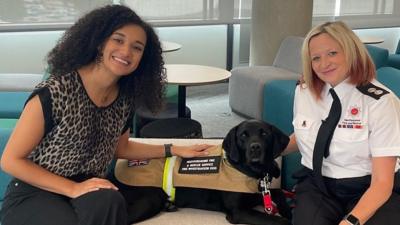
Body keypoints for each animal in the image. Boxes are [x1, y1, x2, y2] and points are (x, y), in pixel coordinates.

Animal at [111, 120, 292, 224]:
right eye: (243, 136)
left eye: (264, 134)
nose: (255, 148)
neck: (255, 173)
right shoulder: (238, 212)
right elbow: (279, 221)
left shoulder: (267, 191)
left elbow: (281, 195)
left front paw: (289, 210)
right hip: (151, 198)